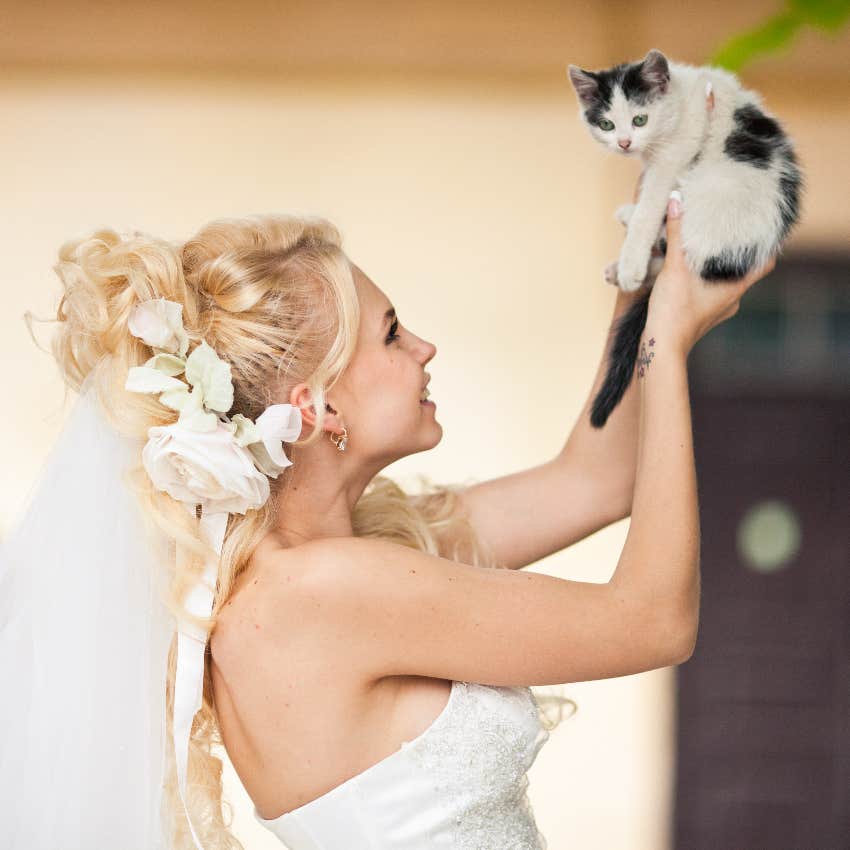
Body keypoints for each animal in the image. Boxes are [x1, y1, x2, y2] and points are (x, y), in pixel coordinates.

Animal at [568, 49, 800, 428]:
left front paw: (631, 261)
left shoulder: (678, 149)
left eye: (640, 119)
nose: (625, 143)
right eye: (606, 125)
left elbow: (651, 203)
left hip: (707, 193)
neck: (677, 101)